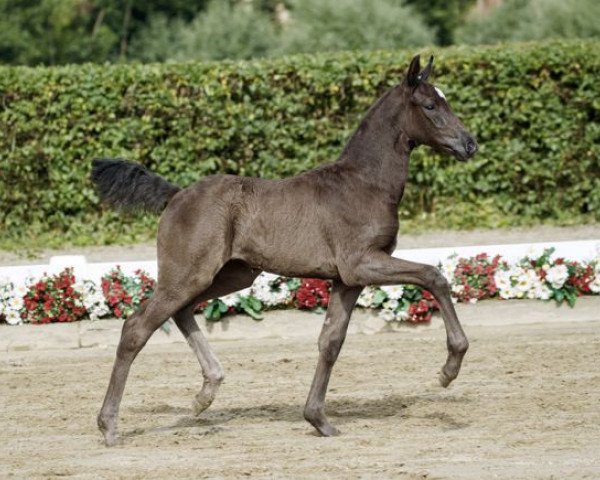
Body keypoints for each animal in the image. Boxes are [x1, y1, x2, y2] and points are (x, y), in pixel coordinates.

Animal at [92, 55, 478, 446]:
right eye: (430, 105)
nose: (469, 145)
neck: (364, 183)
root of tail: (176, 195)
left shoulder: (347, 279)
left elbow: (331, 341)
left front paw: (318, 419)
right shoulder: (362, 263)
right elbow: (434, 276)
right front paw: (449, 368)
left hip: (232, 275)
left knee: (181, 311)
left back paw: (206, 392)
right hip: (189, 274)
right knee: (136, 328)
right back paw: (109, 426)